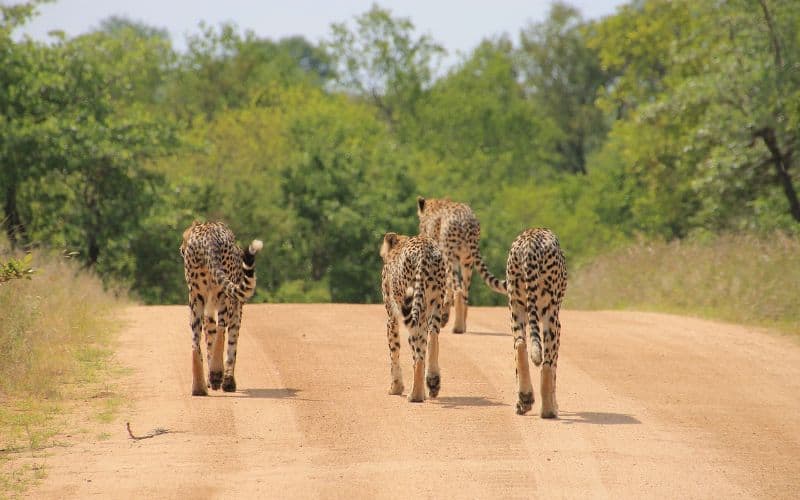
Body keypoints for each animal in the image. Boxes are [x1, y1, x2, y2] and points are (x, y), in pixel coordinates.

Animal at [180, 222, 262, 394]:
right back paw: (217, 374)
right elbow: (231, 345)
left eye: (183, 238)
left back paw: (199, 387)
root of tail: (208, 235)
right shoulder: (236, 309)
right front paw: (227, 380)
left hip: (196, 300)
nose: (181, 248)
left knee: (195, 342)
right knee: (221, 330)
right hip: (225, 298)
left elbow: (210, 340)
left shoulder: (208, 310)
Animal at [382, 233, 450, 402]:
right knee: (432, 338)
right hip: (434, 302)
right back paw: (432, 381)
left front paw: (396, 387)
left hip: (414, 306)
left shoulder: (392, 317)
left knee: (417, 351)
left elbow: (394, 352)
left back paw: (416, 395)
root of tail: (424, 248)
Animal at [416, 197, 504, 334]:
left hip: (450, 257)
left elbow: (447, 289)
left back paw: (457, 327)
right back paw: (463, 325)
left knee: (458, 290)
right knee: (465, 293)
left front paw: (444, 316)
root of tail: (467, 220)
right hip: (467, 261)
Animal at [506, 229, 568, 416]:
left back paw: (524, 399)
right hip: (550, 316)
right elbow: (554, 367)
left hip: (516, 309)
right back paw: (549, 410)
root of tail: (529, 243)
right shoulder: (558, 323)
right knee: (547, 364)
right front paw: (555, 403)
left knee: (519, 346)